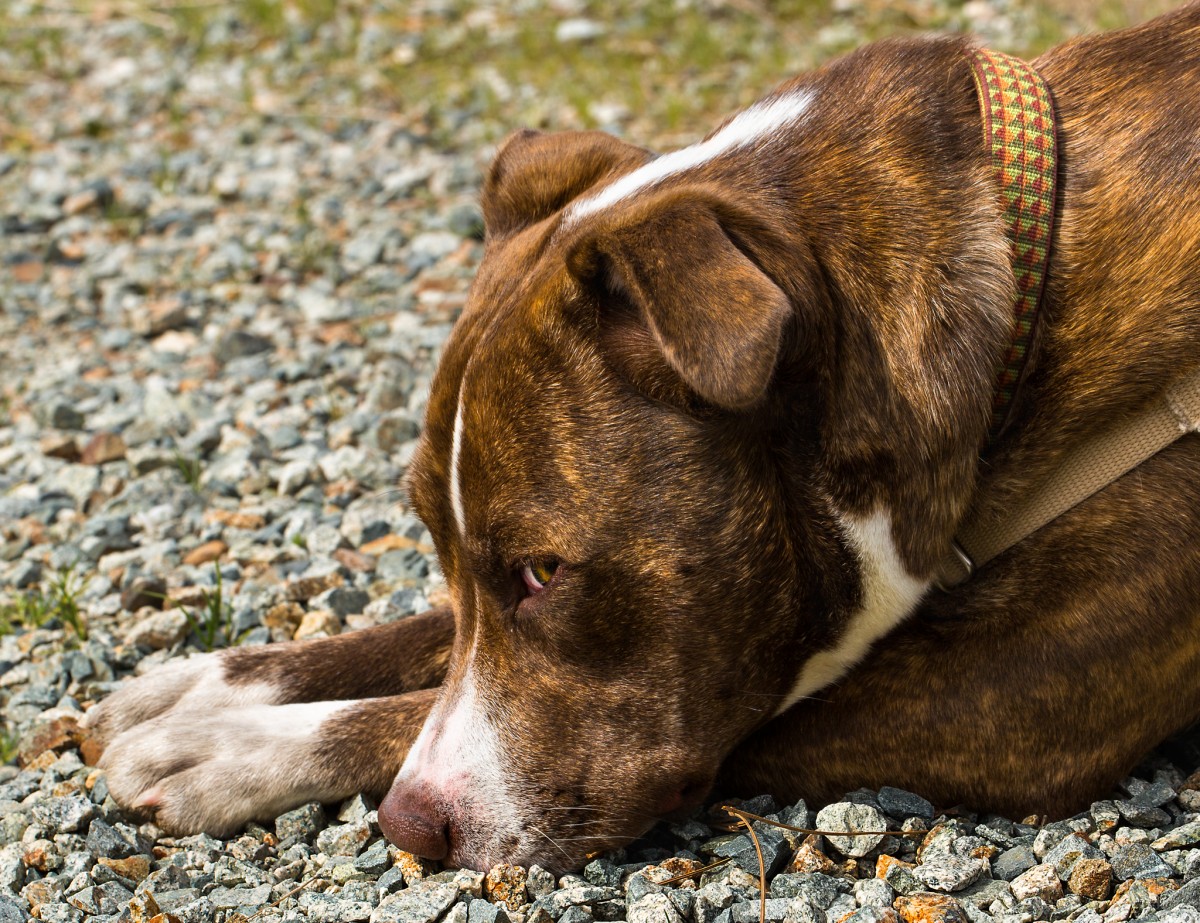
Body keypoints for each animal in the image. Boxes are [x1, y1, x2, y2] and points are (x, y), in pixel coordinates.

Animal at [84, 5, 1200, 873]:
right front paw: (210, 684)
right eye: (441, 550)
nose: (408, 826)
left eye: (546, 571)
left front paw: (228, 749)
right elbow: (429, 639)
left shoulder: (1008, 697)